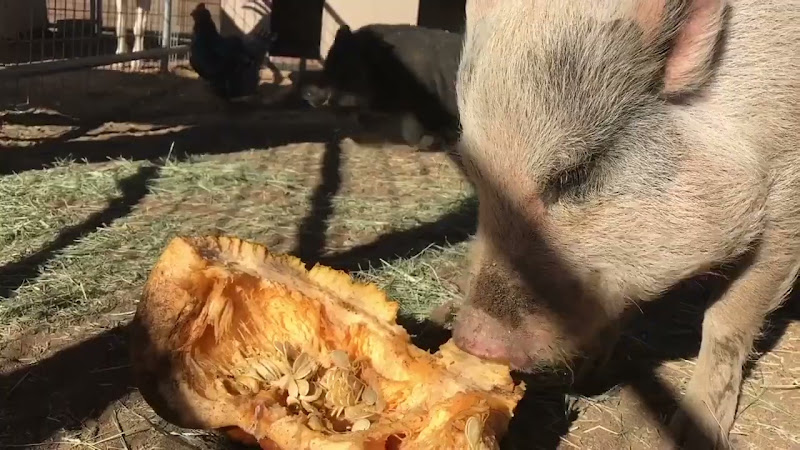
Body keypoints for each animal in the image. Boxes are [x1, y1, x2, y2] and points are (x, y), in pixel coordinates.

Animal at [451, 0, 800, 448]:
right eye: (475, 174)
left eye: (575, 173)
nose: (469, 338)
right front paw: (585, 377)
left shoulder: (785, 210)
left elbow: (725, 322)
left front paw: (692, 432)